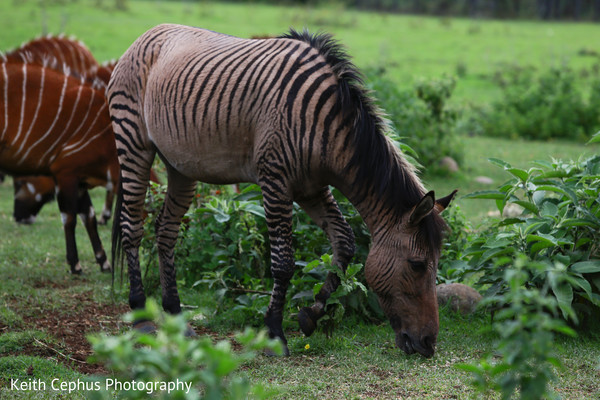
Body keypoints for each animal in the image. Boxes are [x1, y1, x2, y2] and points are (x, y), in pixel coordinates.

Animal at [0, 56, 116, 274]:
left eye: (19, 184)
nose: (18, 216)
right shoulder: (67, 173)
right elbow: (70, 217)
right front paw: (75, 264)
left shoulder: (78, 179)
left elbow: (88, 215)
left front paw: (104, 262)